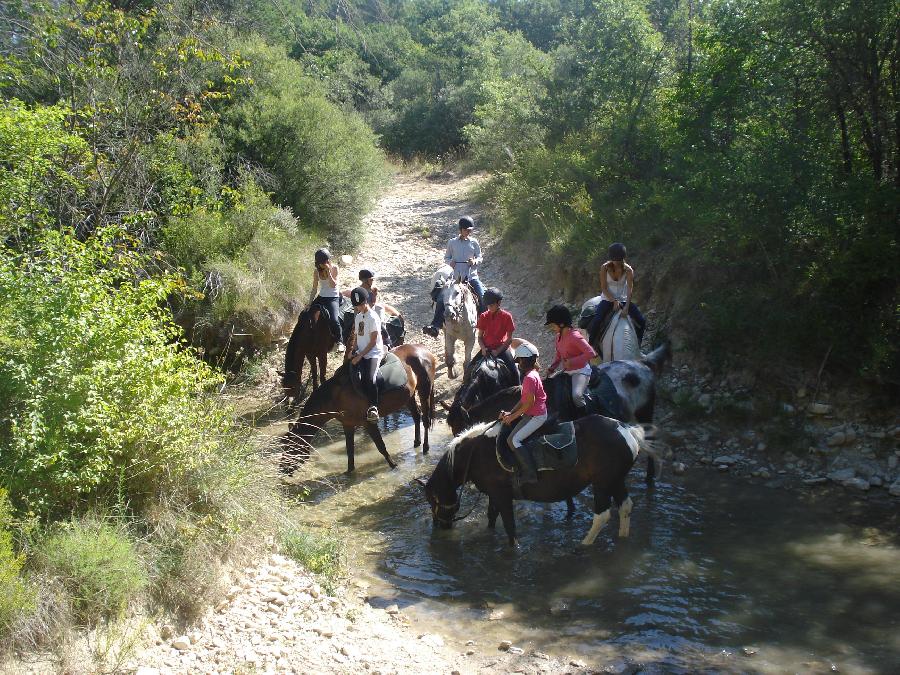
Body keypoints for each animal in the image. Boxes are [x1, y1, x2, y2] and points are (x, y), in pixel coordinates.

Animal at [280, 344, 438, 476]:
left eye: (290, 448)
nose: (283, 470)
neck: (336, 396)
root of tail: (425, 351)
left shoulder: (368, 423)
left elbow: (380, 446)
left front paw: (393, 465)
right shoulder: (348, 424)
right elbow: (350, 450)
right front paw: (349, 473)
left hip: (424, 390)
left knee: (425, 420)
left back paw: (425, 447)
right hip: (409, 396)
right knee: (416, 416)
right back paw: (416, 442)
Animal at [422, 418, 660, 548]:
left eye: (432, 501)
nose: (440, 526)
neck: (475, 452)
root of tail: (628, 432)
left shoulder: (502, 495)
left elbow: (509, 526)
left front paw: (514, 548)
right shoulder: (494, 494)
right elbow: (491, 518)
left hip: (602, 483)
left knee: (602, 516)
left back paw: (584, 545)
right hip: (616, 480)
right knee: (625, 507)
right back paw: (622, 538)